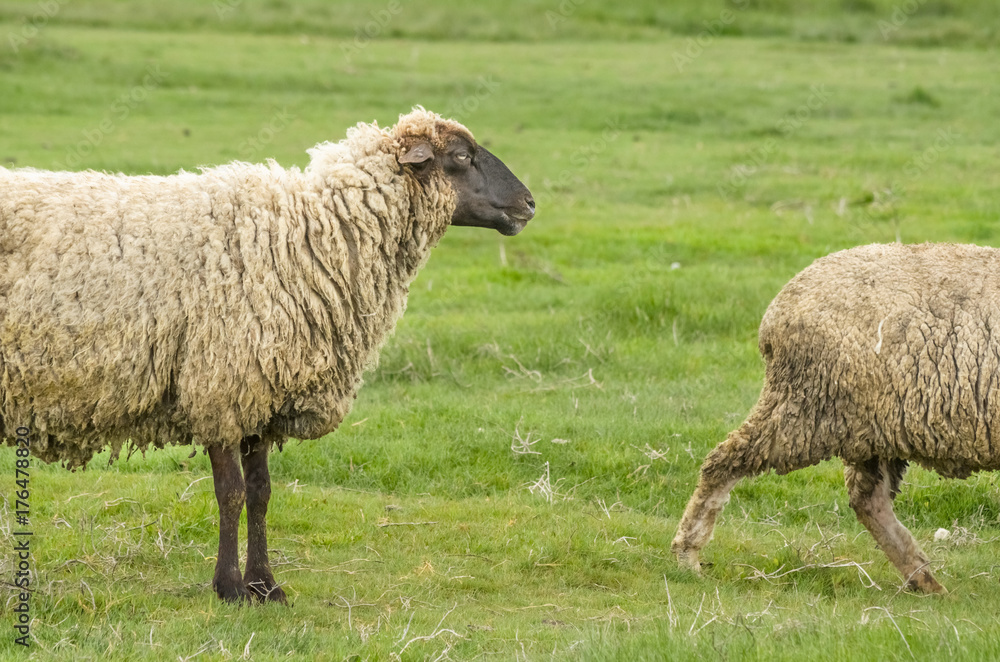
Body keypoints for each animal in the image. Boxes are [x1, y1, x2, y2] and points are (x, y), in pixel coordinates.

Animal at [0, 107, 535, 603]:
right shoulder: (222, 383)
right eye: (461, 157)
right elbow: (232, 493)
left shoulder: (262, 389)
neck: (310, 235)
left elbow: (260, 493)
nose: (529, 203)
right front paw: (229, 587)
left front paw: (265, 585)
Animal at [672, 242, 1000, 593]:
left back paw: (924, 580)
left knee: (867, 500)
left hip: (869, 429)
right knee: (722, 461)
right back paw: (687, 555)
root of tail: (777, 310)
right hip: (806, 409)